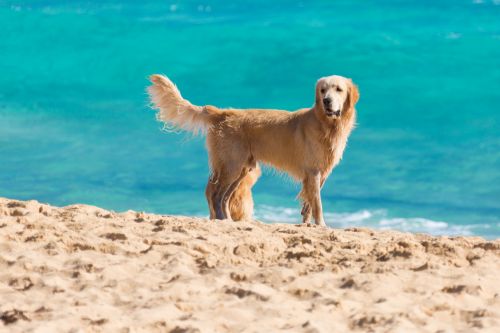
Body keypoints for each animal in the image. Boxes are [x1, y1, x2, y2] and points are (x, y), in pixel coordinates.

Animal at [148, 74, 360, 226]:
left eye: (338, 89)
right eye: (323, 90)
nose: (326, 101)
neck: (326, 124)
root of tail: (222, 112)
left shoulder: (319, 174)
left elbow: (308, 203)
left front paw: (308, 224)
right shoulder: (313, 172)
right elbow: (317, 203)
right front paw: (322, 225)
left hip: (242, 169)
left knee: (223, 196)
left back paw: (228, 220)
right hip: (231, 165)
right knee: (214, 193)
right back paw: (222, 220)